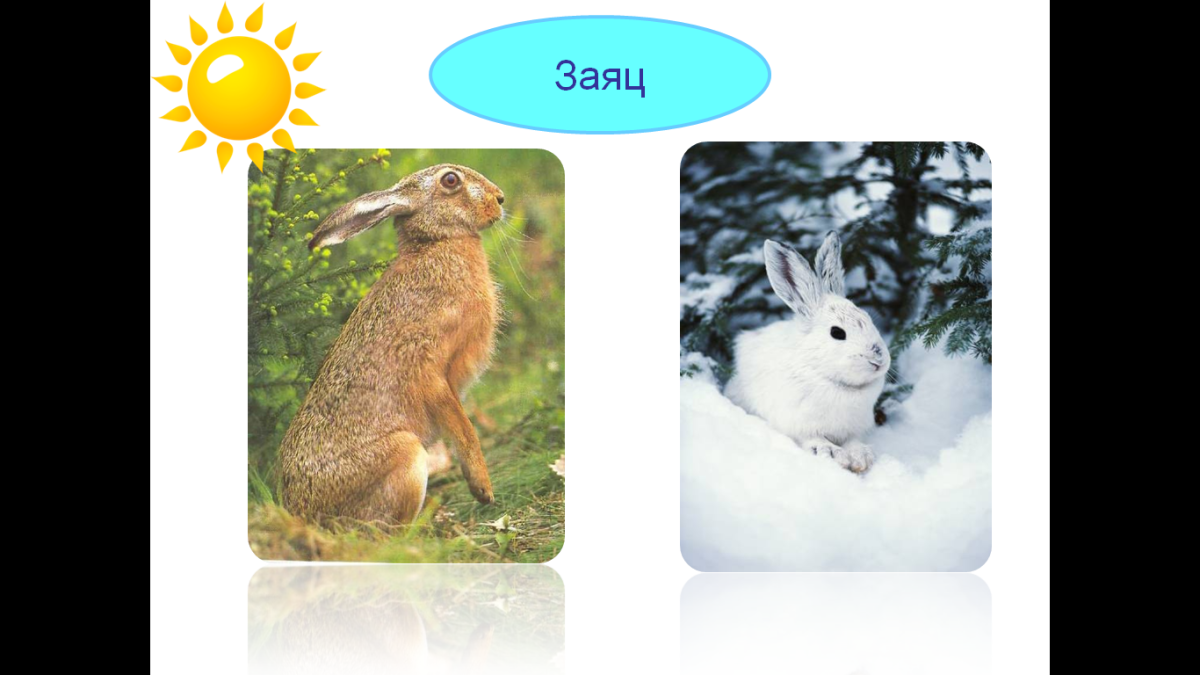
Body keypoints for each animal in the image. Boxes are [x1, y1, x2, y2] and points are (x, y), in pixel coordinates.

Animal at [278, 164, 504, 524]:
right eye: (450, 180)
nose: (500, 199)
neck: (435, 245)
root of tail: (305, 515)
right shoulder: (429, 365)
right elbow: (464, 428)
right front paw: (483, 489)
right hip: (406, 455)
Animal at [724, 232, 890, 474]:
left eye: (869, 319)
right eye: (837, 333)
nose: (879, 359)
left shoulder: (852, 429)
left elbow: (853, 441)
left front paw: (861, 458)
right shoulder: (798, 423)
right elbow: (813, 439)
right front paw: (832, 454)